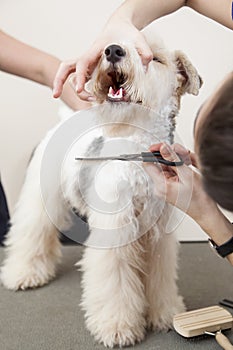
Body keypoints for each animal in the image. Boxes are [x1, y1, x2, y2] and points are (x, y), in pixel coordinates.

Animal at [0, 32, 202, 348]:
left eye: (156, 58)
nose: (113, 51)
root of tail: (63, 121)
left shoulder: (159, 236)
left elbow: (160, 279)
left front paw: (166, 314)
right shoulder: (116, 233)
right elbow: (115, 282)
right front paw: (117, 327)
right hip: (41, 198)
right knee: (31, 234)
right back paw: (23, 274)